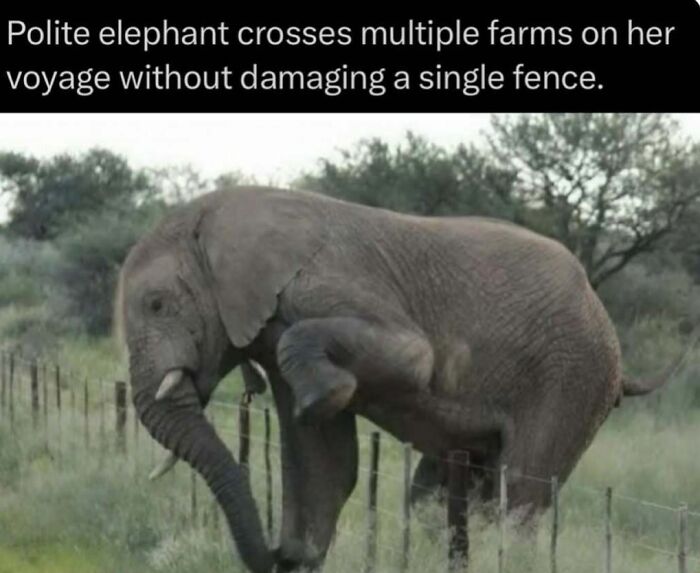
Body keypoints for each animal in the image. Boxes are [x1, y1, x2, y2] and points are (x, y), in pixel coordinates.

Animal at [115, 186, 690, 573]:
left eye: (157, 304)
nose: (276, 551)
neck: (215, 218)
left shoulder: (324, 283)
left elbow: (413, 357)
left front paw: (321, 398)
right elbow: (324, 463)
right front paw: (299, 554)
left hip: (572, 376)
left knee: (522, 497)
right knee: (438, 498)